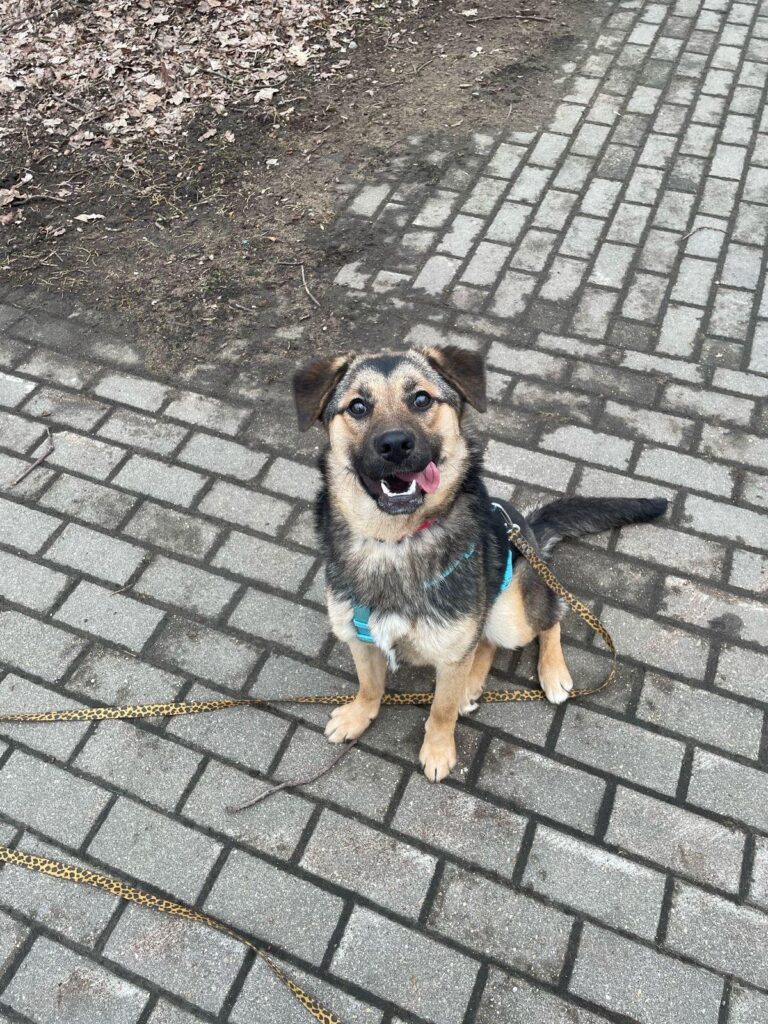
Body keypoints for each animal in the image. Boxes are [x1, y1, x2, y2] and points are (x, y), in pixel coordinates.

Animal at [293, 345, 667, 781]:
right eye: (357, 406)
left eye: (421, 399)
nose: (395, 444)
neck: (395, 542)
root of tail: (528, 530)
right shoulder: (358, 636)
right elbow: (370, 686)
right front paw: (359, 715)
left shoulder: (452, 652)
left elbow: (440, 709)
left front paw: (438, 750)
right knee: (484, 642)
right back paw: (471, 686)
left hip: (513, 611)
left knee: (549, 616)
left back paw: (551, 671)